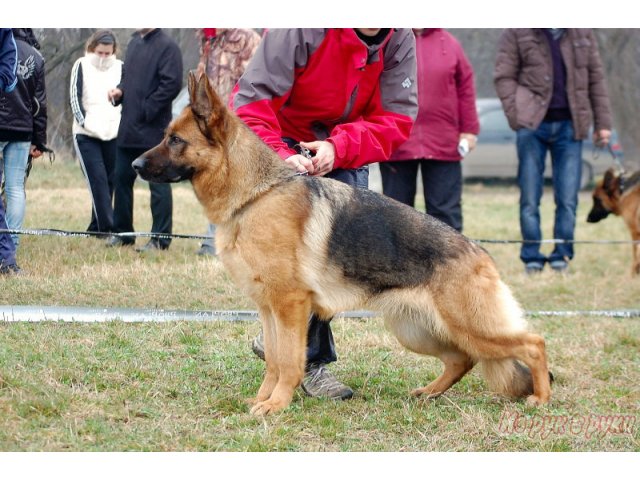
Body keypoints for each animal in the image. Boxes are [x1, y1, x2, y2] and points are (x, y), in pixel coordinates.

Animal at [132, 73, 552, 414]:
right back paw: (430, 392)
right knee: (462, 359)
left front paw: (276, 405)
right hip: (418, 330)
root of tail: (480, 253)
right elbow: (273, 360)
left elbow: (289, 361)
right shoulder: (268, 309)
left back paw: (541, 399)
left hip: (470, 326)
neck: (257, 194)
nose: (134, 165)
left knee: (533, 343)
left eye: (175, 139)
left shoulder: (290, 306)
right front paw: (263, 399)